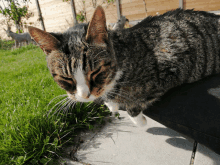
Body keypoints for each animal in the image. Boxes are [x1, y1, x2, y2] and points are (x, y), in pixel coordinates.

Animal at [27, 5, 220, 126]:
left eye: (96, 71)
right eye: (65, 78)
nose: (85, 96)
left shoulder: (170, 65)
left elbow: (133, 101)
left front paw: (138, 120)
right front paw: (110, 104)